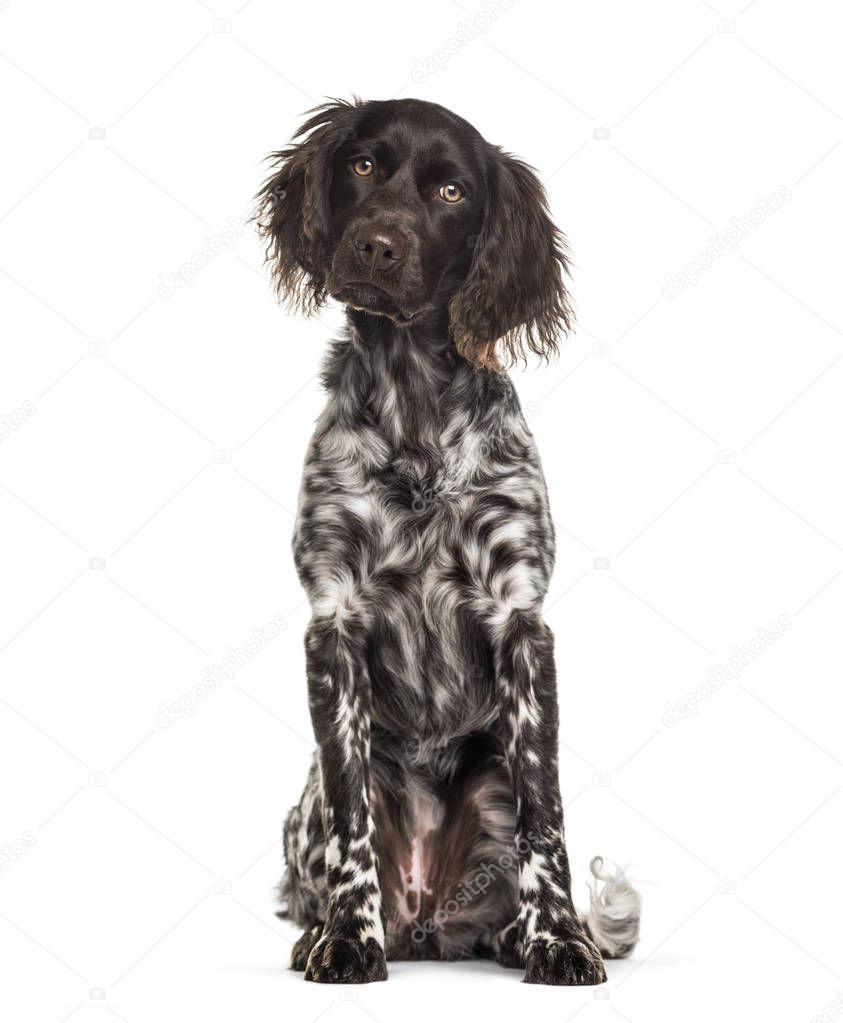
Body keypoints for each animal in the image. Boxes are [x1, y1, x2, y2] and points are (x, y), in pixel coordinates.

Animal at [256, 96, 638, 982]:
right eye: (362, 164)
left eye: (452, 191)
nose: (376, 243)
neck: (416, 413)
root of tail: (429, 921)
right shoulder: (332, 624)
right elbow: (352, 815)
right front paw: (347, 938)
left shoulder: (521, 621)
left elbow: (544, 814)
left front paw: (557, 939)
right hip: (307, 805)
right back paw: (321, 932)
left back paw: (513, 933)